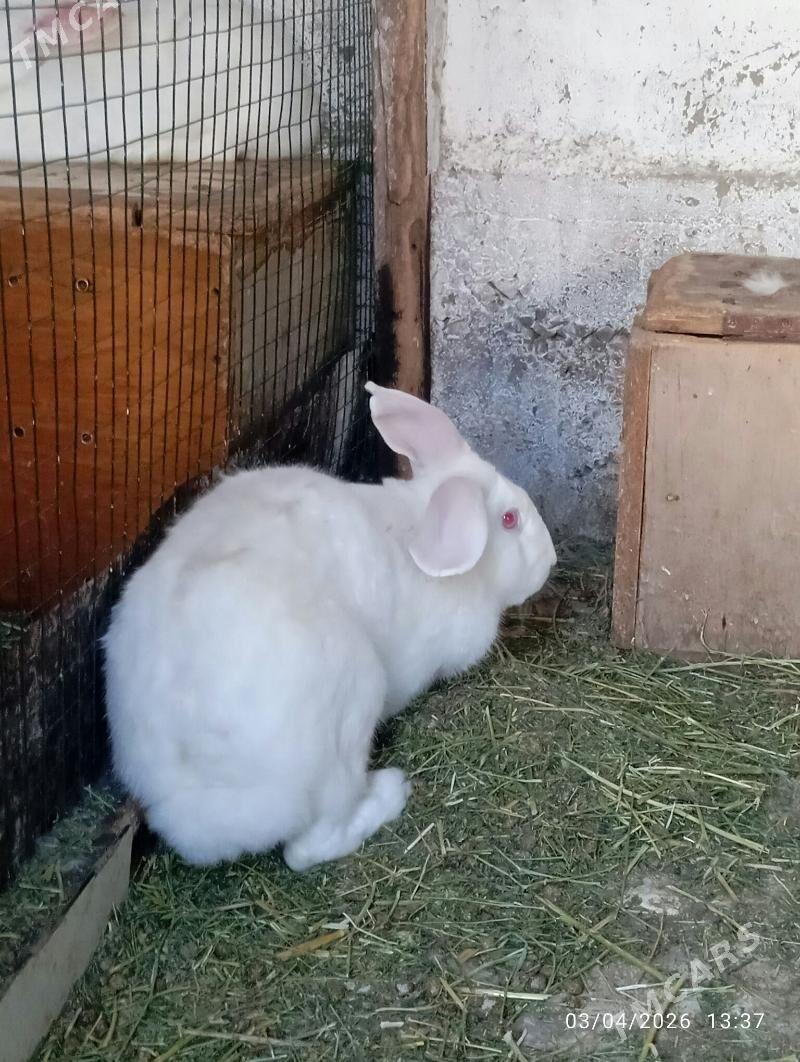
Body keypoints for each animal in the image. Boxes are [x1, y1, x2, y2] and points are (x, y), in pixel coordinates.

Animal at [103, 384, 557, 871]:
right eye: (510, 520)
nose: (550, 559)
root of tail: (198, 809)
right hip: (351, 706)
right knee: (307, 848)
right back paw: (390, 792)